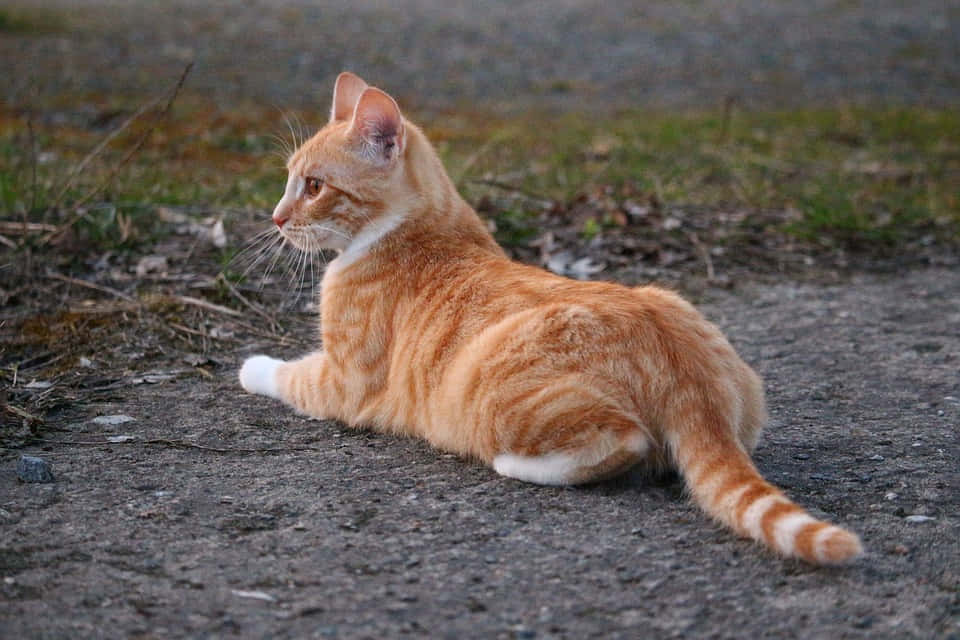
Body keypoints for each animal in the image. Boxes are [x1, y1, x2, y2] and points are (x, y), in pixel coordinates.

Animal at [238, 72, 864, 564]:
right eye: (290, 180)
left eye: (313, 186)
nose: (275, 218)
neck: (421, 226)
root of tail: (690, 376)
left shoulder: (342, 382)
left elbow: (288, 373)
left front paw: (251, 367)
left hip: (494, 396)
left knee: (625, 444)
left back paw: (516, 465)